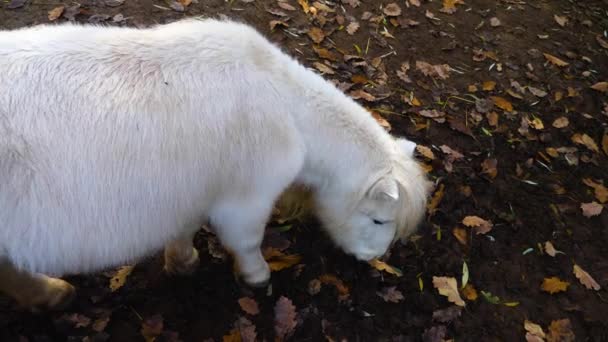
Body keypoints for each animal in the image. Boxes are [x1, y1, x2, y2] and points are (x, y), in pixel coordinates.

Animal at [0, 17, 428, 308]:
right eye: (379, 219)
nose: (373, 258)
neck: (287, 107)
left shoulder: (195, 188)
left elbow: (185, 225)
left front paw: (183, 261)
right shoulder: (247, 198)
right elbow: (246, 240)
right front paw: (257, 276)